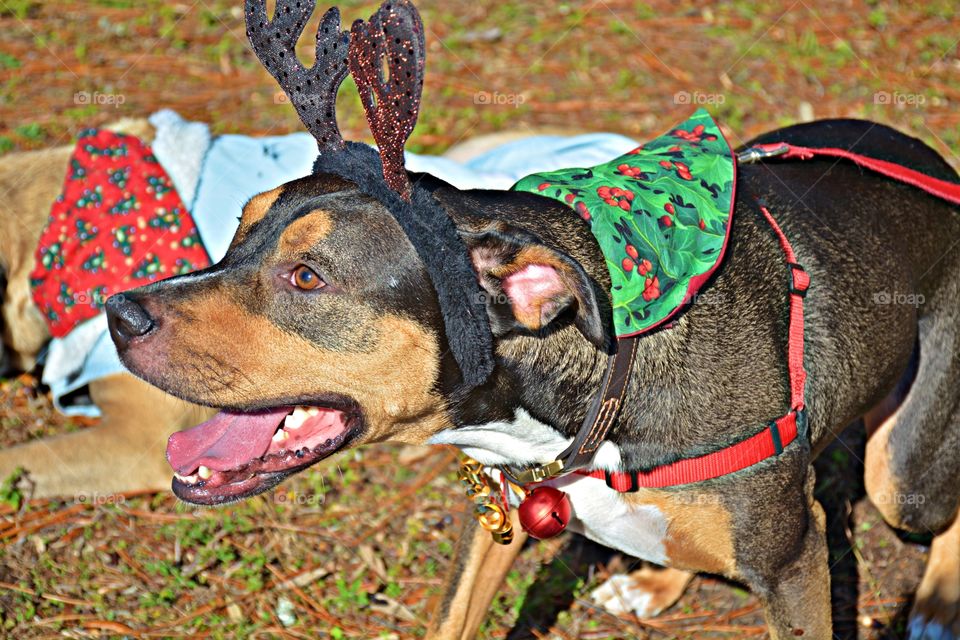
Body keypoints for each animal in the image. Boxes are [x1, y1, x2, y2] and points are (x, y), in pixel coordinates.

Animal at [99, 2, 960, 636]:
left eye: (307, 277)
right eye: (236, 235)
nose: (118, 312)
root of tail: (934, 164)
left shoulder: (793, 565)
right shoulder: (493, 518)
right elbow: (450, 618)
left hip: (901, 473)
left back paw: (935, 610)